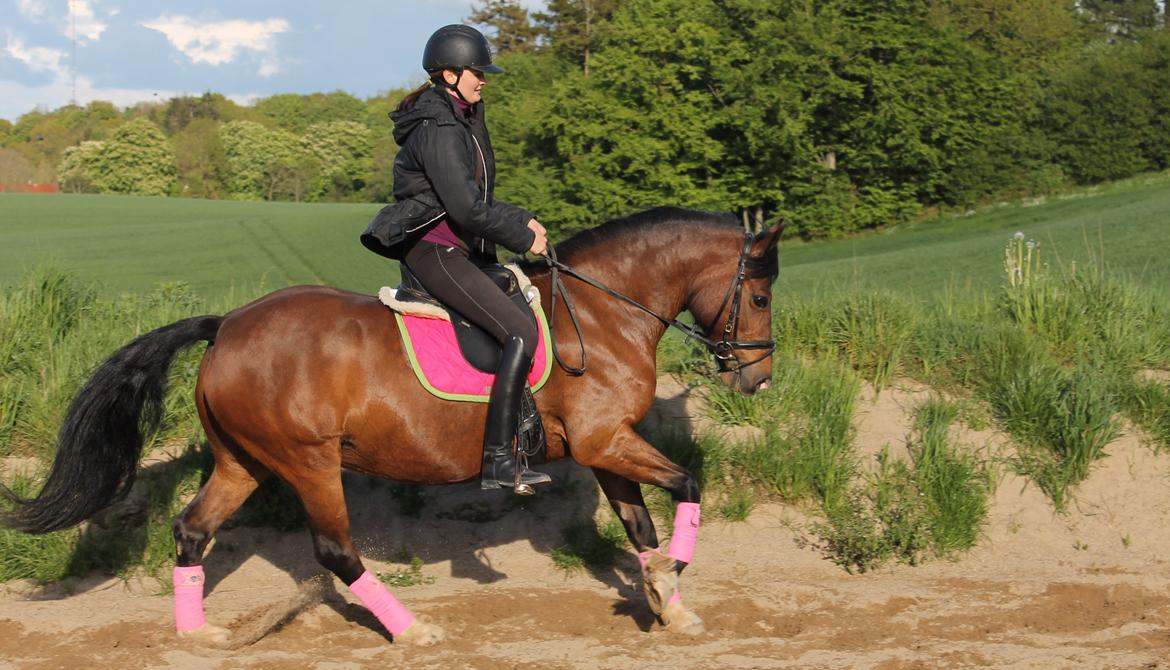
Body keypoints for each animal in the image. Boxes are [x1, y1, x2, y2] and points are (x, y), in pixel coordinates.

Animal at [1, 207, 781, 646]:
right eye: (760, 295)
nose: (758, 379)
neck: (602, 313)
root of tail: (228, 327)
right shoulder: (603, 442)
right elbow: (689, 484)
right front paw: (670, 582)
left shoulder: (605, 448)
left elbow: (641, 524)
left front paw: (668, 605)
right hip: (310, 461)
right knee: (335, 552)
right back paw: (414, 632)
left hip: (241, 462)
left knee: (193, 530)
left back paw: (200, 636)